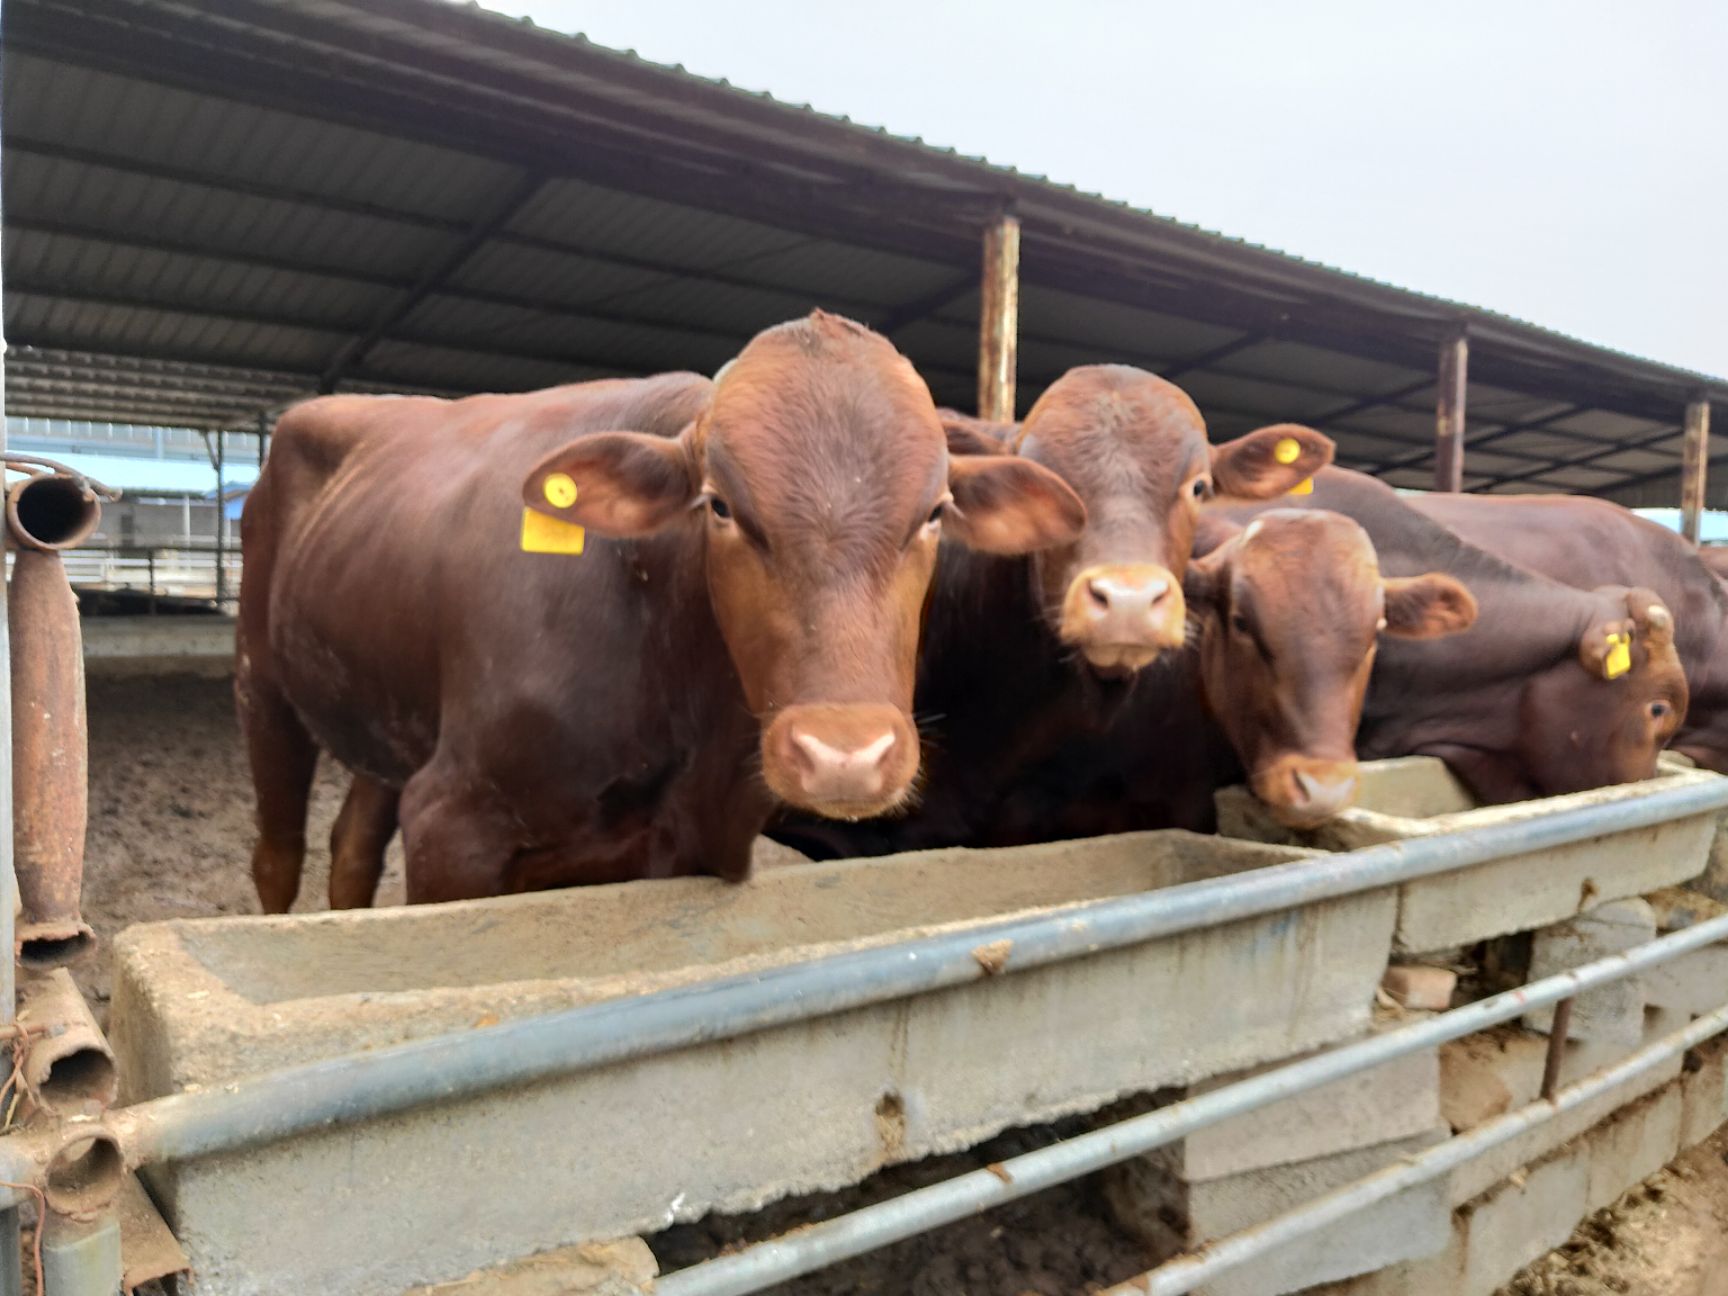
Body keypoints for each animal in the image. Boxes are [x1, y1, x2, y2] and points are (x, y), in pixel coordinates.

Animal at [238, 314, 1085, 905]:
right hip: (262, 680)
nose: (844, 755)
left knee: (352, 845)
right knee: (278, 857)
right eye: (720, 506)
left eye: (935, 512)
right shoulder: (452, 822)